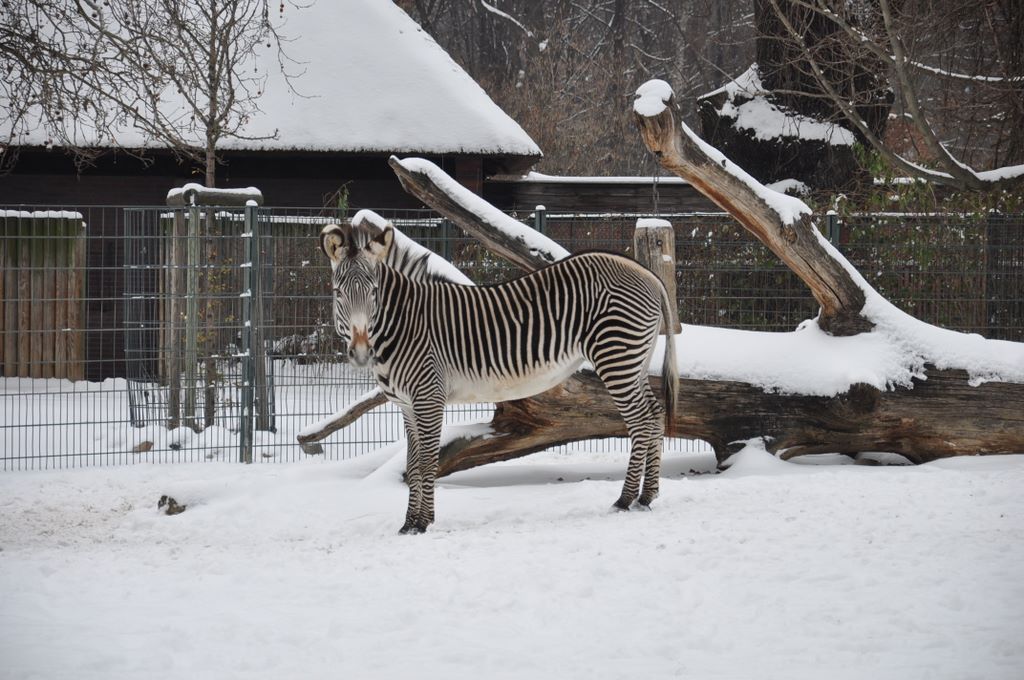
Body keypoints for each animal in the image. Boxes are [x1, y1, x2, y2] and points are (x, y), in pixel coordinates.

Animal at [321, 221, 679, 534]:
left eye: (374, 292)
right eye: (338, 293)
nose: (361, 352)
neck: (403, 325)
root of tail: (645, 271)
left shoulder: (428, 396)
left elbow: (425, 462)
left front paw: (422, 523)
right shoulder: (407, 405)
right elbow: (412, 463)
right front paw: (409, 523)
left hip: (617, 355)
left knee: (640, 421)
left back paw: (625, 499)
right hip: (635, 360)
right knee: (655, 413)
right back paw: (647, 496)